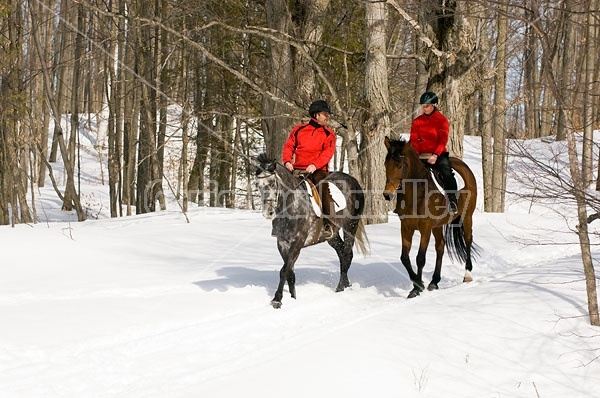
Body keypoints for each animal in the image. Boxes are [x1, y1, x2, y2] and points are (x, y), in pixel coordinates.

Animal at [255, 152, 368, 308]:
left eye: (272, 183)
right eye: (258, 185)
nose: (268, 212)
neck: (292, 204)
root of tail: (353, 180)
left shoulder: (297, 243)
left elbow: (284, 270)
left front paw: (277, 299)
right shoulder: (282, 243)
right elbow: (289, 272)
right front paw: (293, 298)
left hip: (350, 227)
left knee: (346, 255)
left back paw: (340, 288)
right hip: (332, 236)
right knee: (343, 254)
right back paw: (346, 285)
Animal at [384, 137, 478, 298]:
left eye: (399, 165)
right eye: (385, 164)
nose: (387, 194)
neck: (417, 193)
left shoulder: (425, 228)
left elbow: (420, 258)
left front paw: (417, 287)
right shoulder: (406, 227)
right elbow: (404, 258)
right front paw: (418, 284)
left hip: (467, 217)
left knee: (467, 240)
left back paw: (467, 275)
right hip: (438, 225)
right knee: (440, 246)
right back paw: (434, 281)